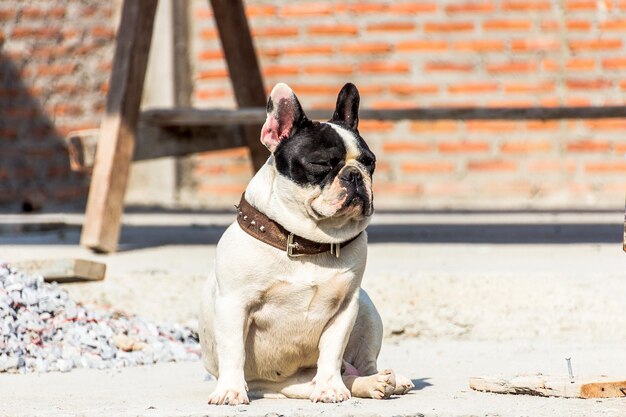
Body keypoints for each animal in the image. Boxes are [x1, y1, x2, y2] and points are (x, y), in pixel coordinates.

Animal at [200, 81, 412, 404]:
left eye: (370, 163)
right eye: (321, 164)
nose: (355, 175)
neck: (307, 241)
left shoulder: (346, 307)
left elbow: (332, 351)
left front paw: (331, 388)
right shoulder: (234, 303)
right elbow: (233, 349)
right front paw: (230, 390)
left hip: (367, 309)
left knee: (357, 366)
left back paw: (378, 381)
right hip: (285, 383)